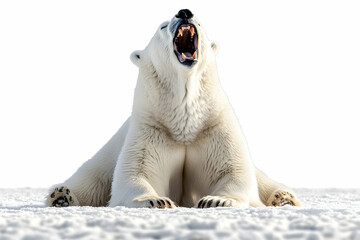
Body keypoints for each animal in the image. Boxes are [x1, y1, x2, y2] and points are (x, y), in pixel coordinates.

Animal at [47, 9, 300, 208]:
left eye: (200, 23)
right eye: (162, 26)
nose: (184, 12)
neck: (184, 124)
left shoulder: (214, 125)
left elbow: (235, 171)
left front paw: (216, 200)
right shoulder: (152, 128)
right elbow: (134, 173)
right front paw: (156, 200)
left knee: (263, 179)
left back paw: (283, 197)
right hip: (108, 152)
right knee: (91, 177)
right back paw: (61, 196)